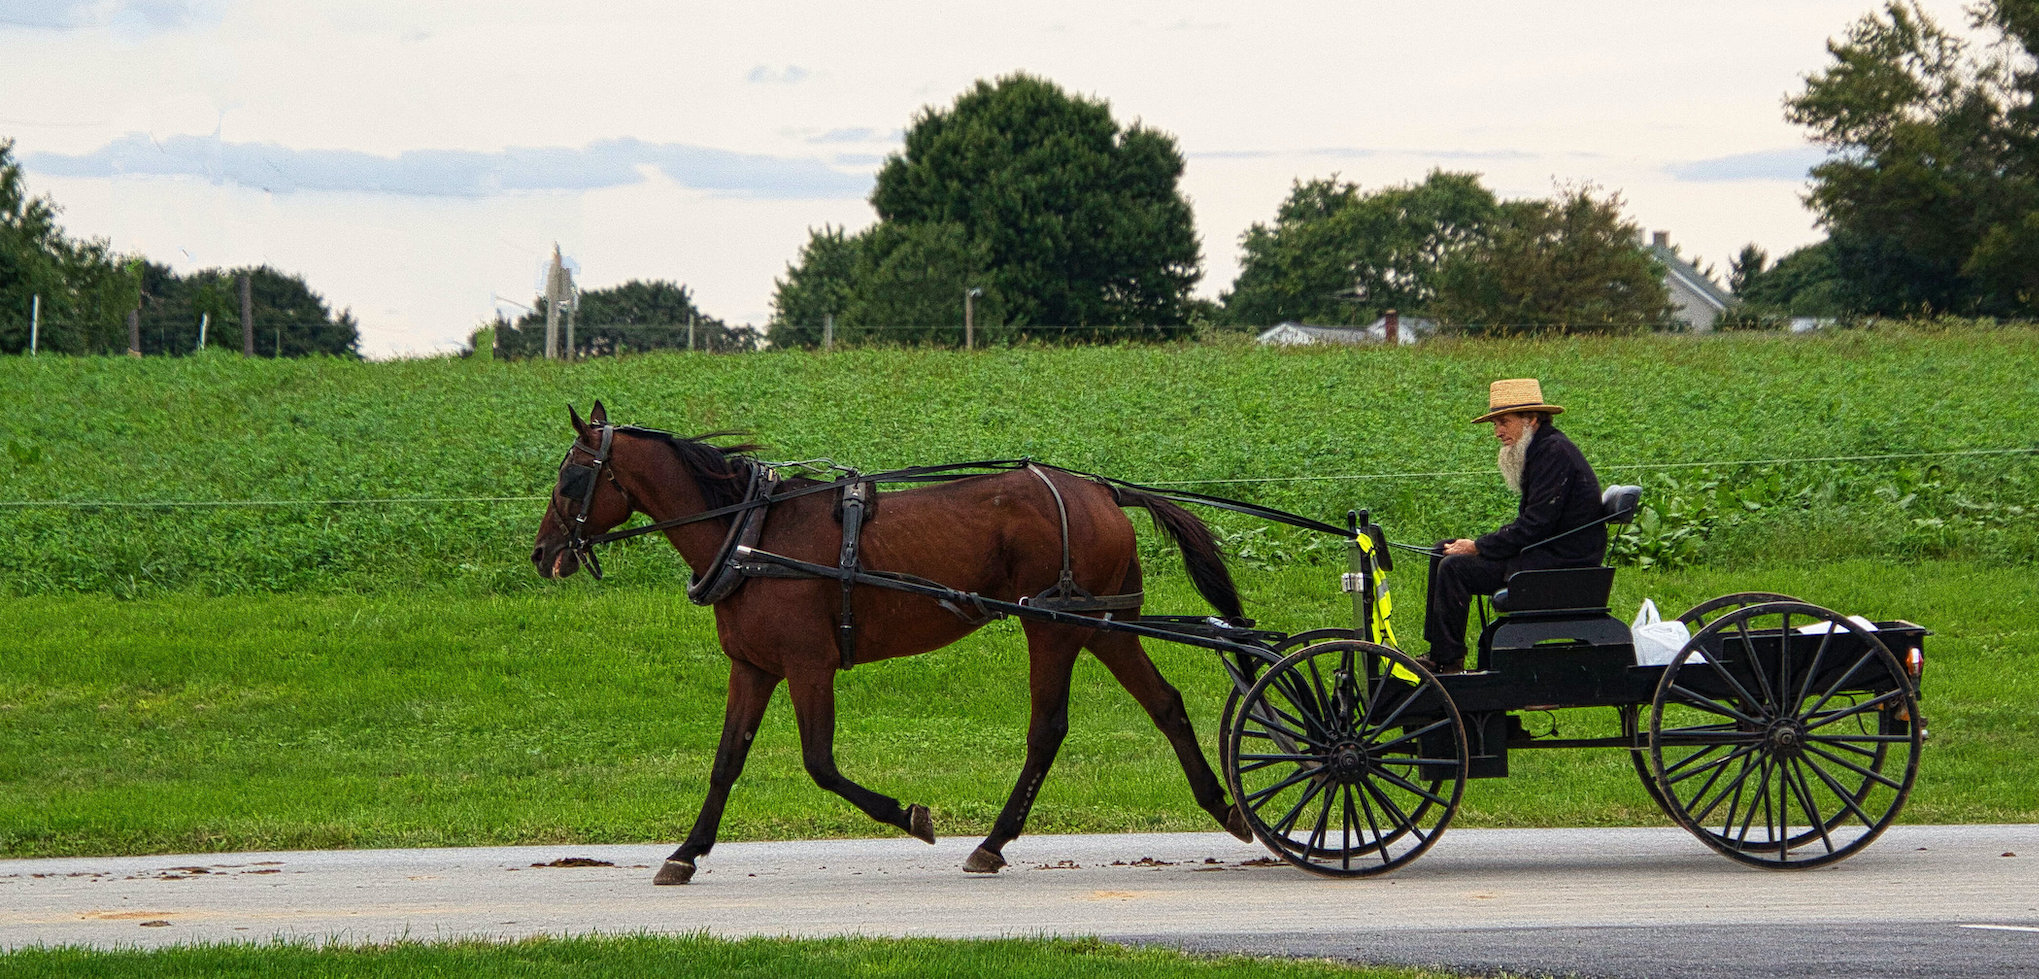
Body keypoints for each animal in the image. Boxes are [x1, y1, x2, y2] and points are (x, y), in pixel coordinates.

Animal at [534, 401, 1247, 885]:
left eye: (571, 479)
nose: (542, 554)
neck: (750, 535)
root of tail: (1105, 491)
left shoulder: (809, 664)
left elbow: (820, 763)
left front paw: (910, 815)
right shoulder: (754, 667)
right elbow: (726, 762)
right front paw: (685, 853)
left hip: (1052, 626)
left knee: (1047, 729)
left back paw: (993, 841)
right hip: (1100, 626)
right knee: (1166, 704)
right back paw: (1225, 807)